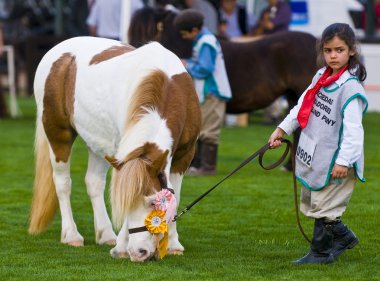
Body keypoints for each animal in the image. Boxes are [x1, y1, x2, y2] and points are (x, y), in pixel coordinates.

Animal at [29, 36, 202, 262]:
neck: (168, 86)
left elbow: (176, 195)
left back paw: (105, 234)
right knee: (62, 183)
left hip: (97, 141)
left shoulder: (184, 155)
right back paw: (71, 235)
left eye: (154, 203)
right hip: (57, 132)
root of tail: (58, 50)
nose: (139, 252)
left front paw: (173, 244)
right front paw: (122, 246)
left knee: (93, 183)